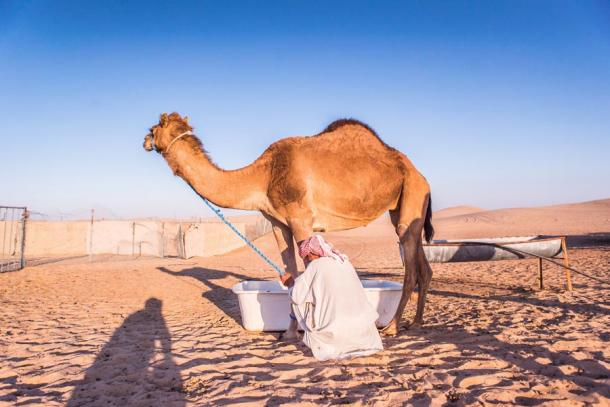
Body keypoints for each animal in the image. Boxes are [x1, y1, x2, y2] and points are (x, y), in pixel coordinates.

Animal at [142, 111, 432, 334]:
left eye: (153, 128)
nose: (144, 141)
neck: (264, 175)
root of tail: (421, 176)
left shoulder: (301, 219)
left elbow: (311, 275)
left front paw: (314, 331)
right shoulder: (278, 223)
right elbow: (291, 277)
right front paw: (292, 332)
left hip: (412, 195)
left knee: (411, 270)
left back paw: (392, 327)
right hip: (403, 208)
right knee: (422, 265)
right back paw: (417, 322)